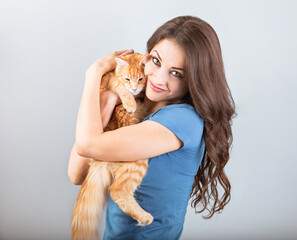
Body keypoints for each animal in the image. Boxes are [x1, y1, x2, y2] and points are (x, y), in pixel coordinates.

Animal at [70, 52, 151, 240]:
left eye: (141, 78)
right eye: (127, 79)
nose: (135, 89)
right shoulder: (107, 79)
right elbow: (118, 86)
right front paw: (130, 101)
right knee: (116, 190)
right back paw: (144, 217)